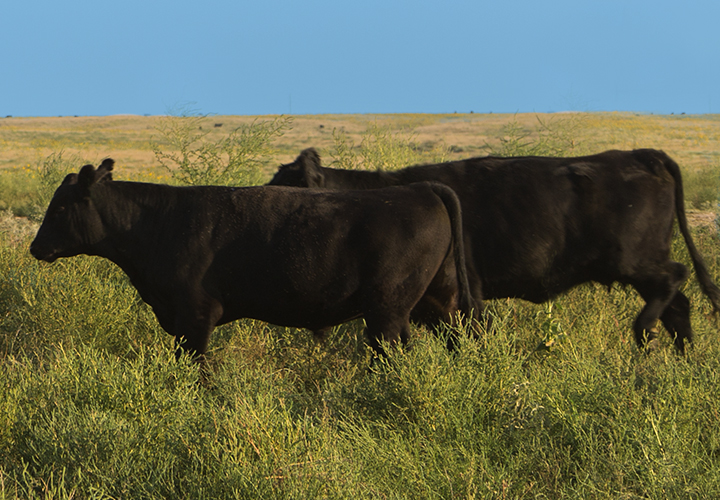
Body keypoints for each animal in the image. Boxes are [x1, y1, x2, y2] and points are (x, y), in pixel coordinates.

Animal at [29, 159, 476, 360]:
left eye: (61, 207)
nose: (35, 247)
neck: (159, 222)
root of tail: (420, 188)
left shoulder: (195, 315)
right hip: (437, 301)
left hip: (387, 310)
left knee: (391, 354)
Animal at [269, 148, 720, 354]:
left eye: (285, 187)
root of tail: (641, 155)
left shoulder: (463, 299)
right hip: (637, 267)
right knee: (678, 305)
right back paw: (682, 360)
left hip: (633, 261)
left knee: (675, 280)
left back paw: (644, 333)